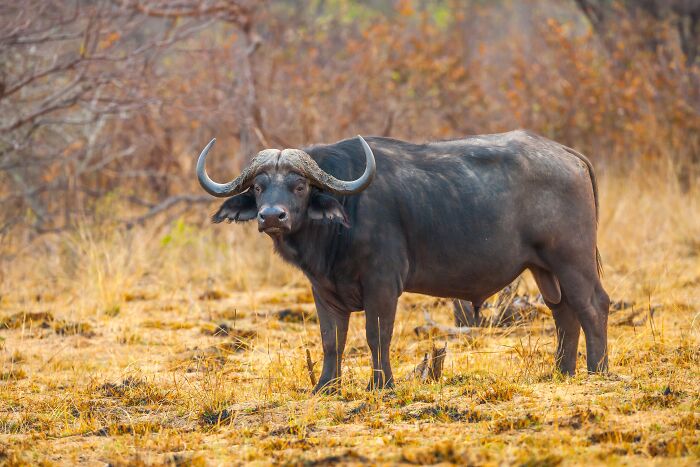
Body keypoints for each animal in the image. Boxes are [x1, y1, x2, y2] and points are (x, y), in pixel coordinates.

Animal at [196, 130, 609, 392]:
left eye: (299, 186)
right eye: (259, 187)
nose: (272, 216)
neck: (345, 218)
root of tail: (569, 155)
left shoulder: (382, 284)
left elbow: (377, 335)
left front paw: (380, 384)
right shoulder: (323, 291)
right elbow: (332, 340)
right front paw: (325, 387)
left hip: (572, 259)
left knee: (593, 306)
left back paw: (597, 370)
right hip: (545, 269)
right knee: (563, 313)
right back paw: (562, 372)